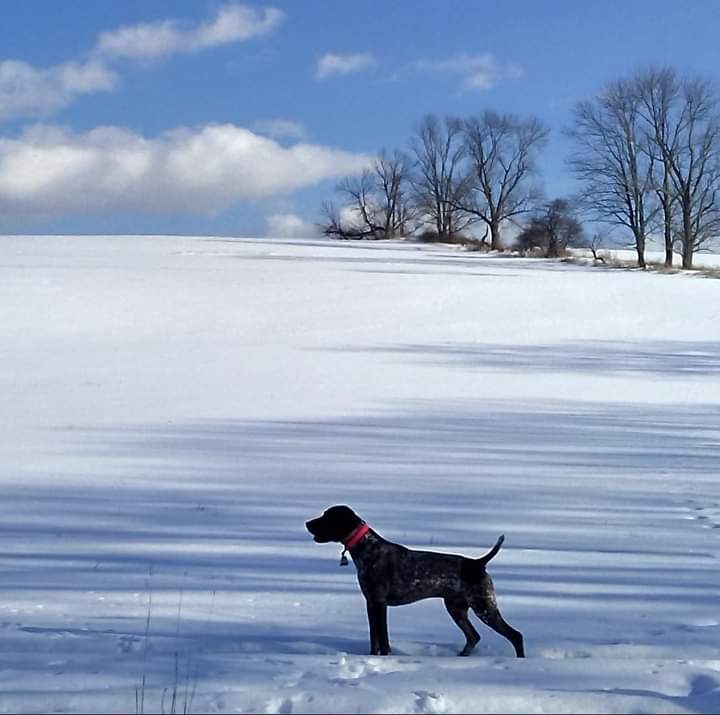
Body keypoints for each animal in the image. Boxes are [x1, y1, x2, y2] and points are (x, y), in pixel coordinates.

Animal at [304, 506, 524, 656]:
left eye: (326, 516)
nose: (307, 523)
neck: (367, 548)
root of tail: (477, 563)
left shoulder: (379, 603)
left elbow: (383, 639)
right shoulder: (371, 603)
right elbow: (374, 639)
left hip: (484, 606)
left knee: (515, 635)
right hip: (457, 608)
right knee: (473, 637)